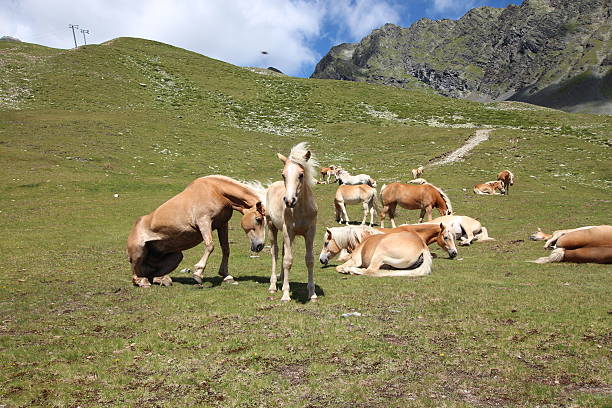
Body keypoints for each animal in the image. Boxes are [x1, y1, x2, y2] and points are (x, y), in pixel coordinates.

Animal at [126, 175, 266, 286]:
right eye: (258, 219)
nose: (259, 246)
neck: (216, 191)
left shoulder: (222, 224)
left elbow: (226, 248)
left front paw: (226, 276)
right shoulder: (204, 221)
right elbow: (210, 245)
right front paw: (198, 273)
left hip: (177, 256)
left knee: (152, 275)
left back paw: (163, 279)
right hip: (138, 252)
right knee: (136, 276)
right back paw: (143, 282)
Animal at [266, 142, 318, 302]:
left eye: (301, 175)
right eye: (283, 175)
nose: (289, 201)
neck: (300, 209)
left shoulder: (310, 232)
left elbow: (309, 260)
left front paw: (312, 294)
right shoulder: (289, 231)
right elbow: (288, 261)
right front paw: (285, 295)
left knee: (283, 252)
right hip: (272, 227)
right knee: (275, 252)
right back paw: (273, 286)